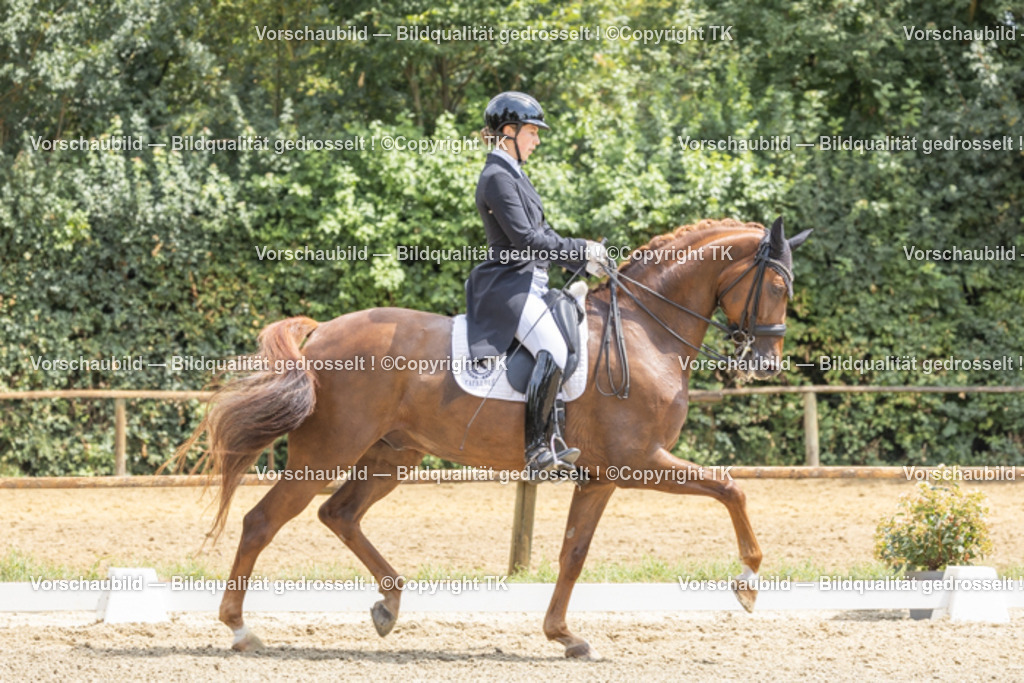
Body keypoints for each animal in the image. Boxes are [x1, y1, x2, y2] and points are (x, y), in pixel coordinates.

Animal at [171, 216, 812, 659]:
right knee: (263, 520)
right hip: (327, 452)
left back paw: (389, 604)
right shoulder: (639, 461)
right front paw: (749, 582)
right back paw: (241, 628)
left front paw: (565, 636)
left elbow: (574, 552)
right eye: (779, 287)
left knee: (340, 514)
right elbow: (731, 488)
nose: (766, 365)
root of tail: (324, 330)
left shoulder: (601, 475)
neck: (643, 331)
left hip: (392, 455)